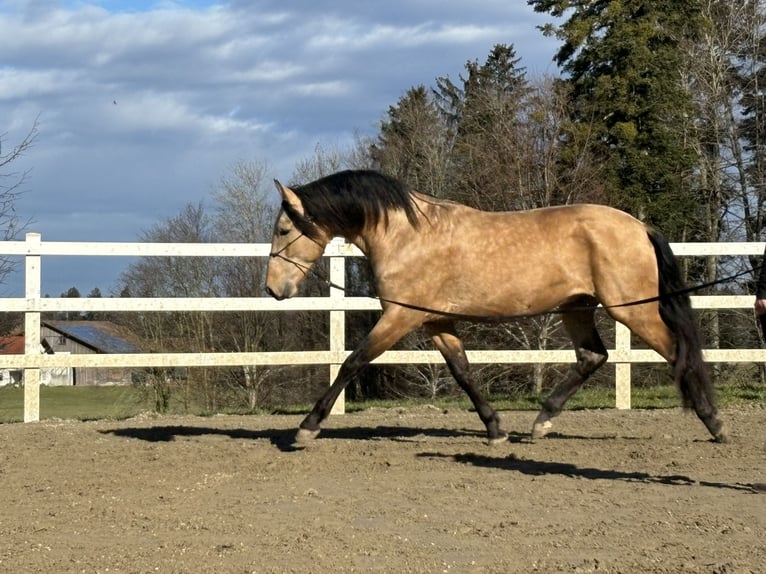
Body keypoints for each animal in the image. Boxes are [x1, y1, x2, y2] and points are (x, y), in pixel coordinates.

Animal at [268, 169, 728, 448]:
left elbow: (353, 362)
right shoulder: (436, 320)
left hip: (632, 310)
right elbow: (463, 371)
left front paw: (307, 428)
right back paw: (540, 423)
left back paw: (714, 423)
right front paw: (495, 429)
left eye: (284, 229)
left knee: (678, 353)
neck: (407, 236)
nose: (273, 288)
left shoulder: (401, 316)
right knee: (592, 356)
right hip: (577, 307)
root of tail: (639, 226)